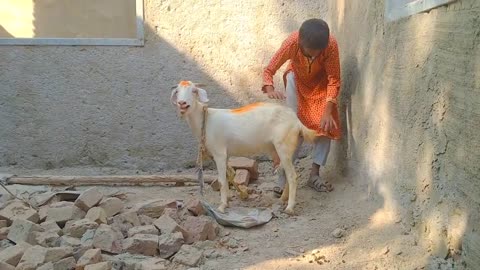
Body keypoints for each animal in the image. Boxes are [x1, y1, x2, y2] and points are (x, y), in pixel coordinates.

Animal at [170, 80, 318, 215]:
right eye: (177, 91)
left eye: (194, 91)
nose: (182, 103)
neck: (206, 120)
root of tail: (296, 121)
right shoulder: (225, 154)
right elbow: (228, 176)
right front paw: (228, 200)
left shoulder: (219, 153)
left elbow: (221, 180)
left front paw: (222, 206)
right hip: (286, 148)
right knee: (288, 173)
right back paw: (283, 199)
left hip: (283, 146)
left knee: (292, 176)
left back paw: (290, 208)